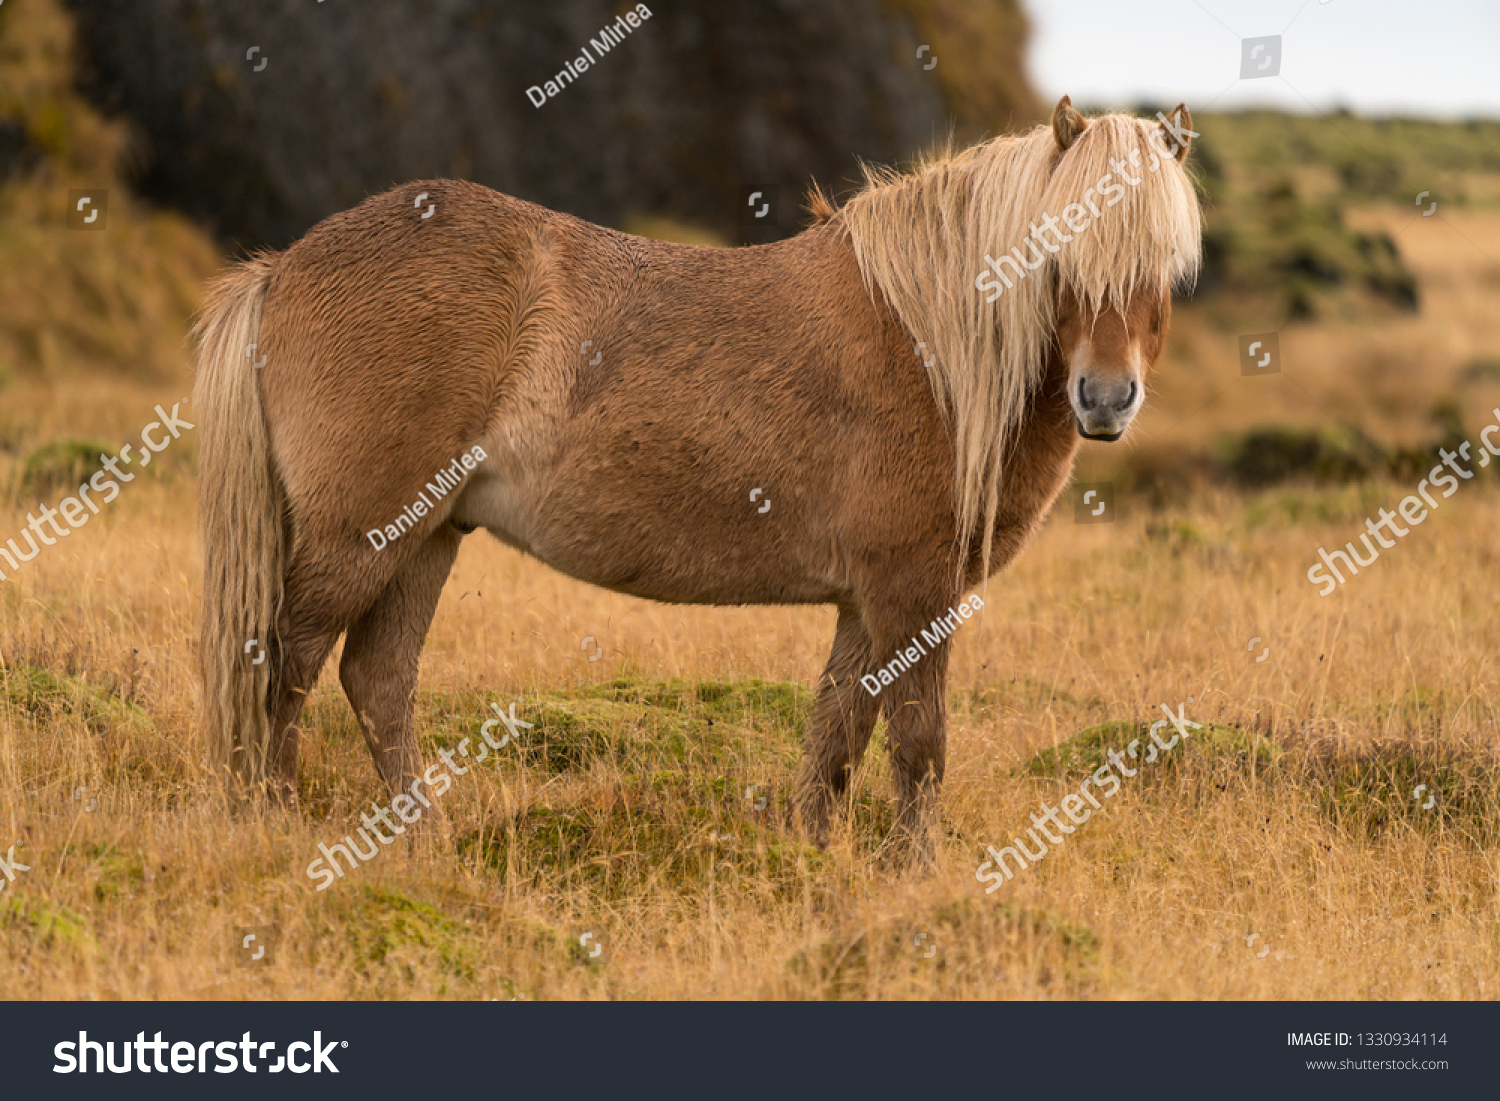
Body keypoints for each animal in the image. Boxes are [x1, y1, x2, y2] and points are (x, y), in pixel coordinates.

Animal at [193, 95, 1201, 866]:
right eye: (1062, 254)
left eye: (1168, 266)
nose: (1105, 399)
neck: (928, 345)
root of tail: (283, 267)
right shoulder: (914, 594)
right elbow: (918, 740)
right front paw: (916, 870)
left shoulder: (864, 604)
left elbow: (839, 732)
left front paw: (811, 855)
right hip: (363, 536)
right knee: (284, 659)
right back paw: (271, 818)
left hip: (429, 534)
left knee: (377, 678)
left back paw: (424, 837)